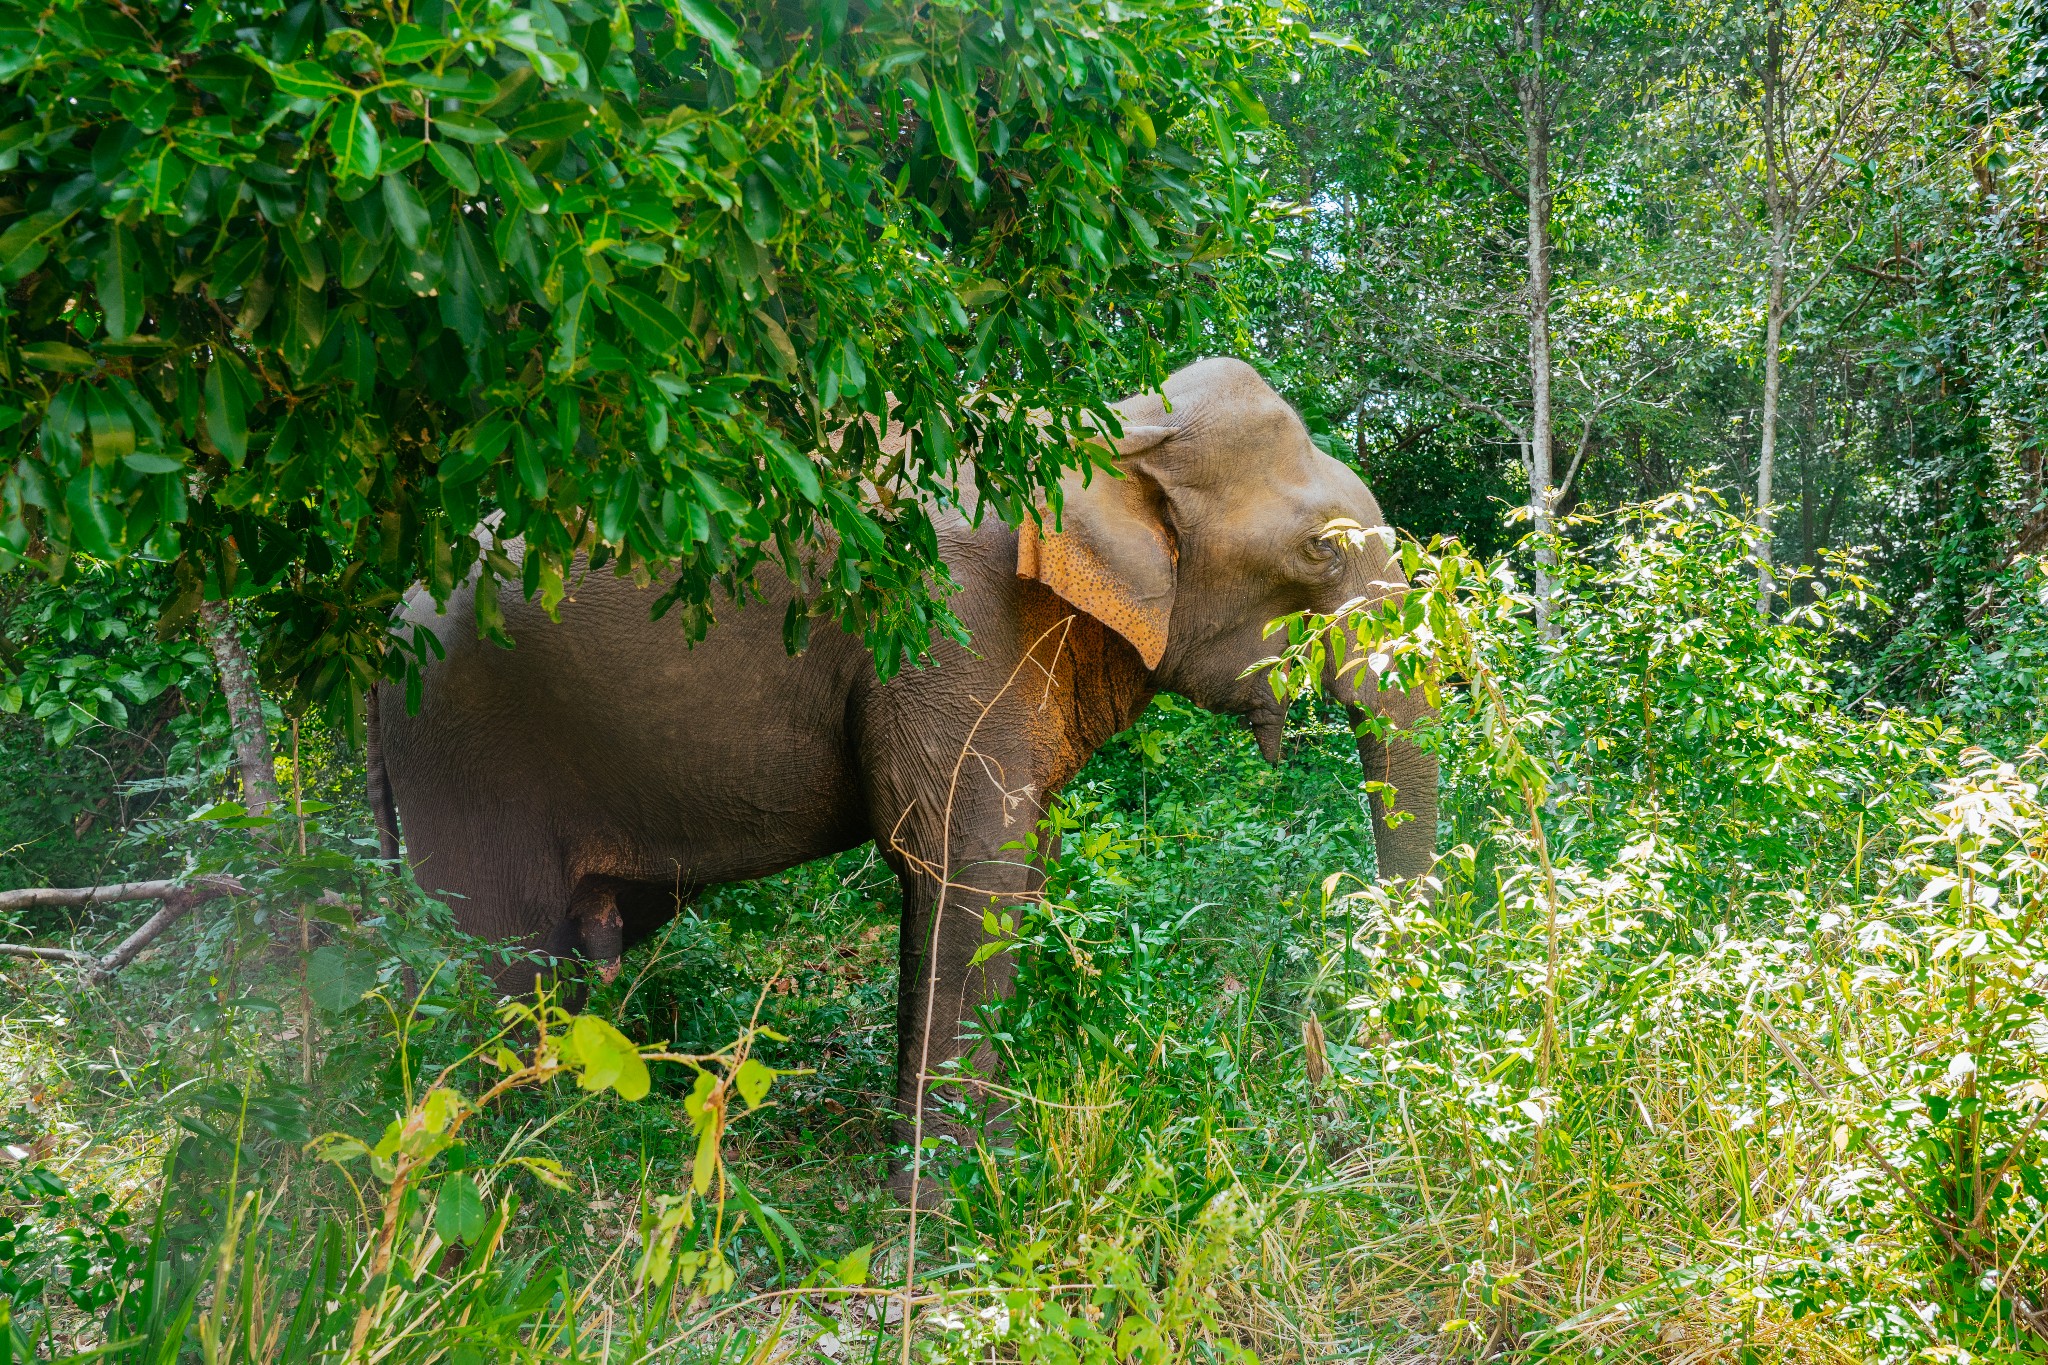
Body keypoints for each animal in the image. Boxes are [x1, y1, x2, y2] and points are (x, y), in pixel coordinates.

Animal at [380, 358, 1441, 1203]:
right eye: (1322, 549)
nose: (1341, 1109)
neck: (1120, 426)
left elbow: (1012, 866)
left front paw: (990, 1169)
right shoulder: (943, 627)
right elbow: (963, 867)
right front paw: (946, 1203)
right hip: (465, 752)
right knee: (494, 960)